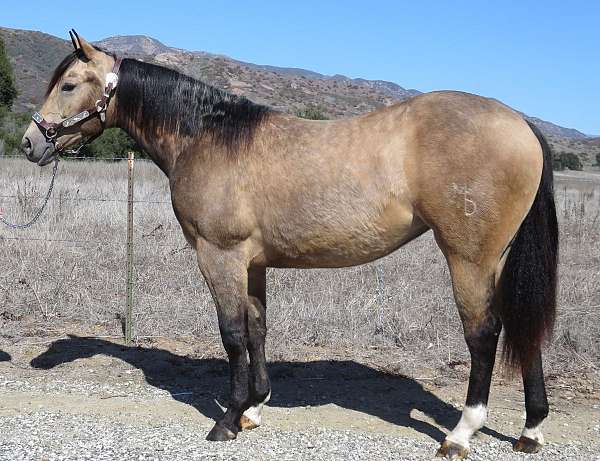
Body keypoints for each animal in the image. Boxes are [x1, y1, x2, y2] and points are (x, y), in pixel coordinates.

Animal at [21, 30, 560, 458]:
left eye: (69, 84)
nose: (30, 142)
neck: (208, 136)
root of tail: (521, 123)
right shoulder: (253, 263)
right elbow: (258, 329)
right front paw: (254, 409)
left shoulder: (219, 256)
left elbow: (232, 333)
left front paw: (227, 420)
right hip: (496, 261)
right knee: (522, 327)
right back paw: (530, 431)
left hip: (469, 259)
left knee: (484, 334)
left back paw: (461, 434)